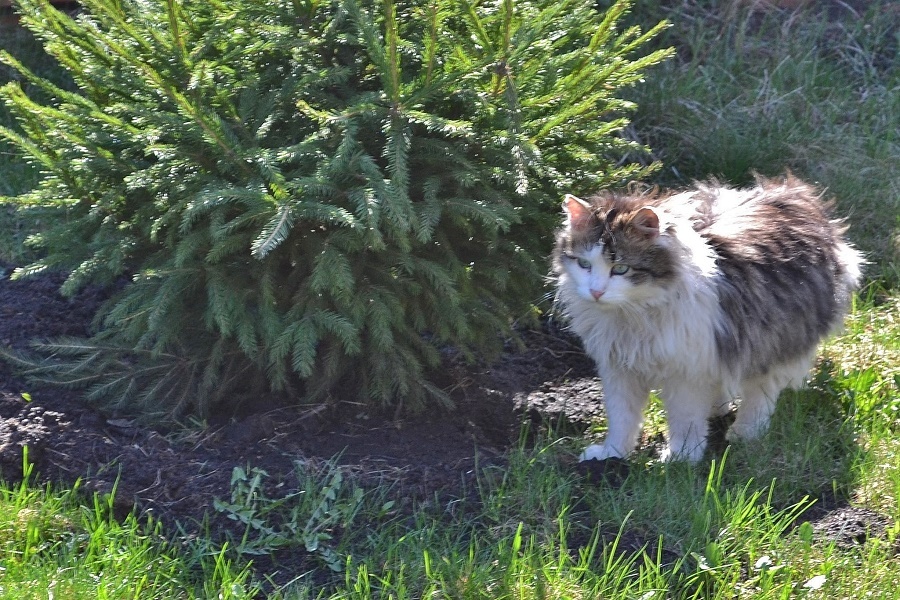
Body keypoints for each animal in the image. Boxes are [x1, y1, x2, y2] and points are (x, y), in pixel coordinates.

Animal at [552, 173, 860, 464]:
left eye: (621, 269)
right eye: (584, 264)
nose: (596, 292)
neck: (633, 314)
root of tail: (793, 192)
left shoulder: (686, 372)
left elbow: (685, 418)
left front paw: (681, 458)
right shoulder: (619, 368)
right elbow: (622, 418)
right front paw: (611, 455)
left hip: (775, 337)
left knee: (761, 390)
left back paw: (746, 432)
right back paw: (718, 410)